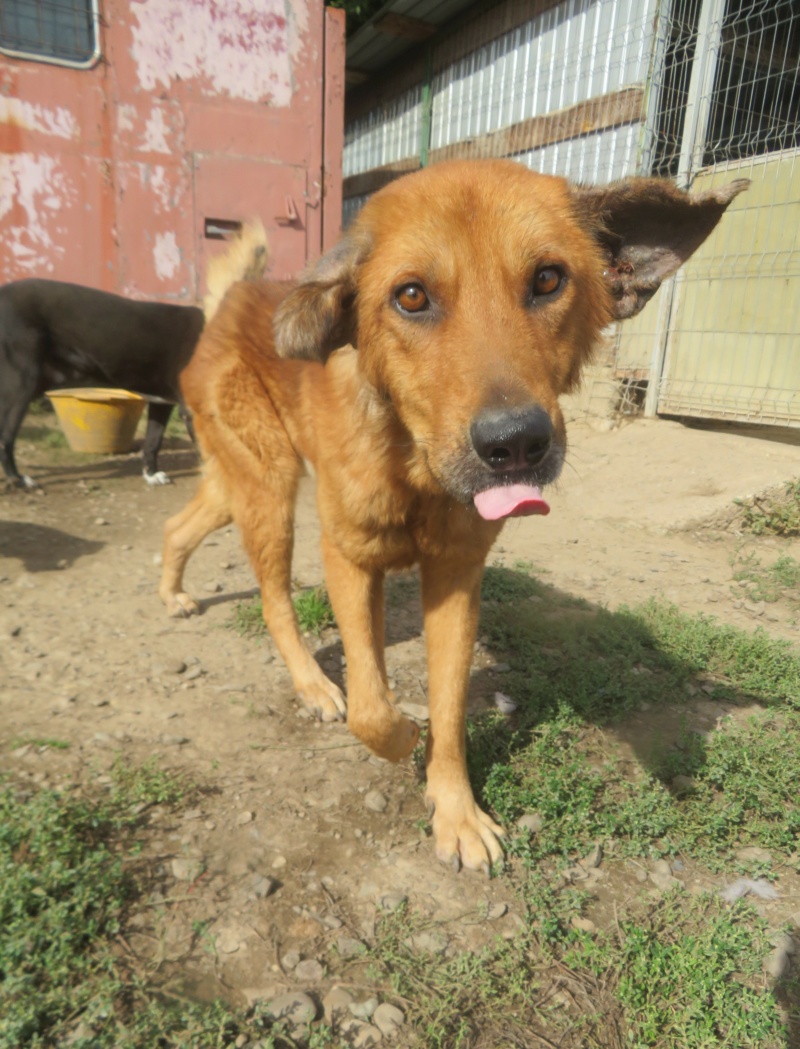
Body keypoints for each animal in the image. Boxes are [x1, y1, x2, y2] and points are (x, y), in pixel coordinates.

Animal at [0, 279, 206, 490]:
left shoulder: (162, 403)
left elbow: (152, 442)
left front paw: (151, 475)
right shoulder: (193, 411)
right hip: (22, 383)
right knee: (6, 437)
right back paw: (17, 479)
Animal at [159, 159, 746, 872]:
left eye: (547, 279)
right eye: (411, 296)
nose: (515, 444)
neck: (416, 472)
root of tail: (235, 301)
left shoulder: (457, 578)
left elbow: (448, 702)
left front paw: (456, 812)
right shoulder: (348, 557)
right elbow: (372, 709)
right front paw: (397, 731)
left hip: (239, 482)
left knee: (178, 525)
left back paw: (173, 593)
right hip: (269, 490)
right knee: (274, 600)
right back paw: (312, 686)